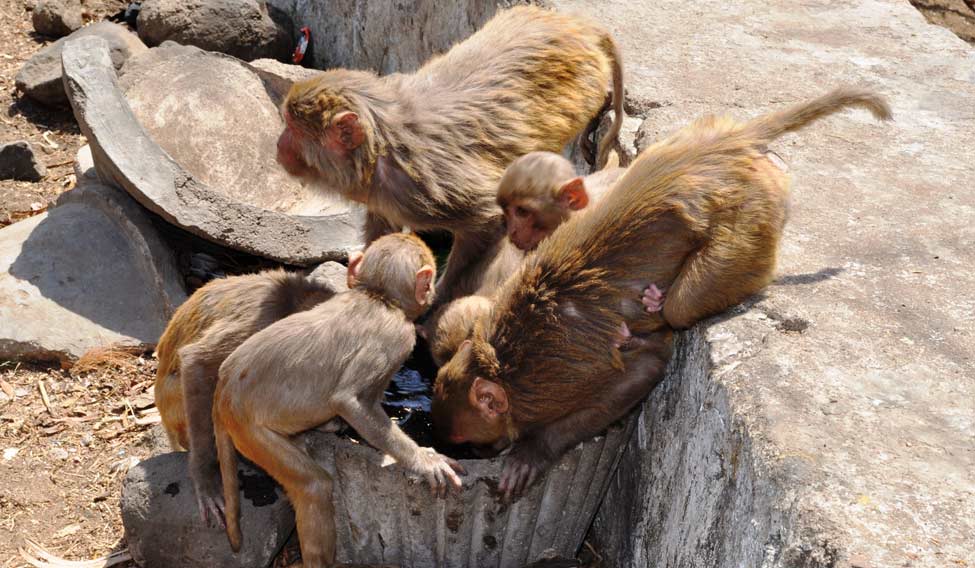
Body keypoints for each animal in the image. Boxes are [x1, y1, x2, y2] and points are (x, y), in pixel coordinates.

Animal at [213, 233, 465, 567]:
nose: (432, 293)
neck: (377, 297)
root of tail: (223, 388)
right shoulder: (399, 336)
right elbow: (351, 401)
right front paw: (423, 460)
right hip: (250, 431)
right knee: (315, 487)